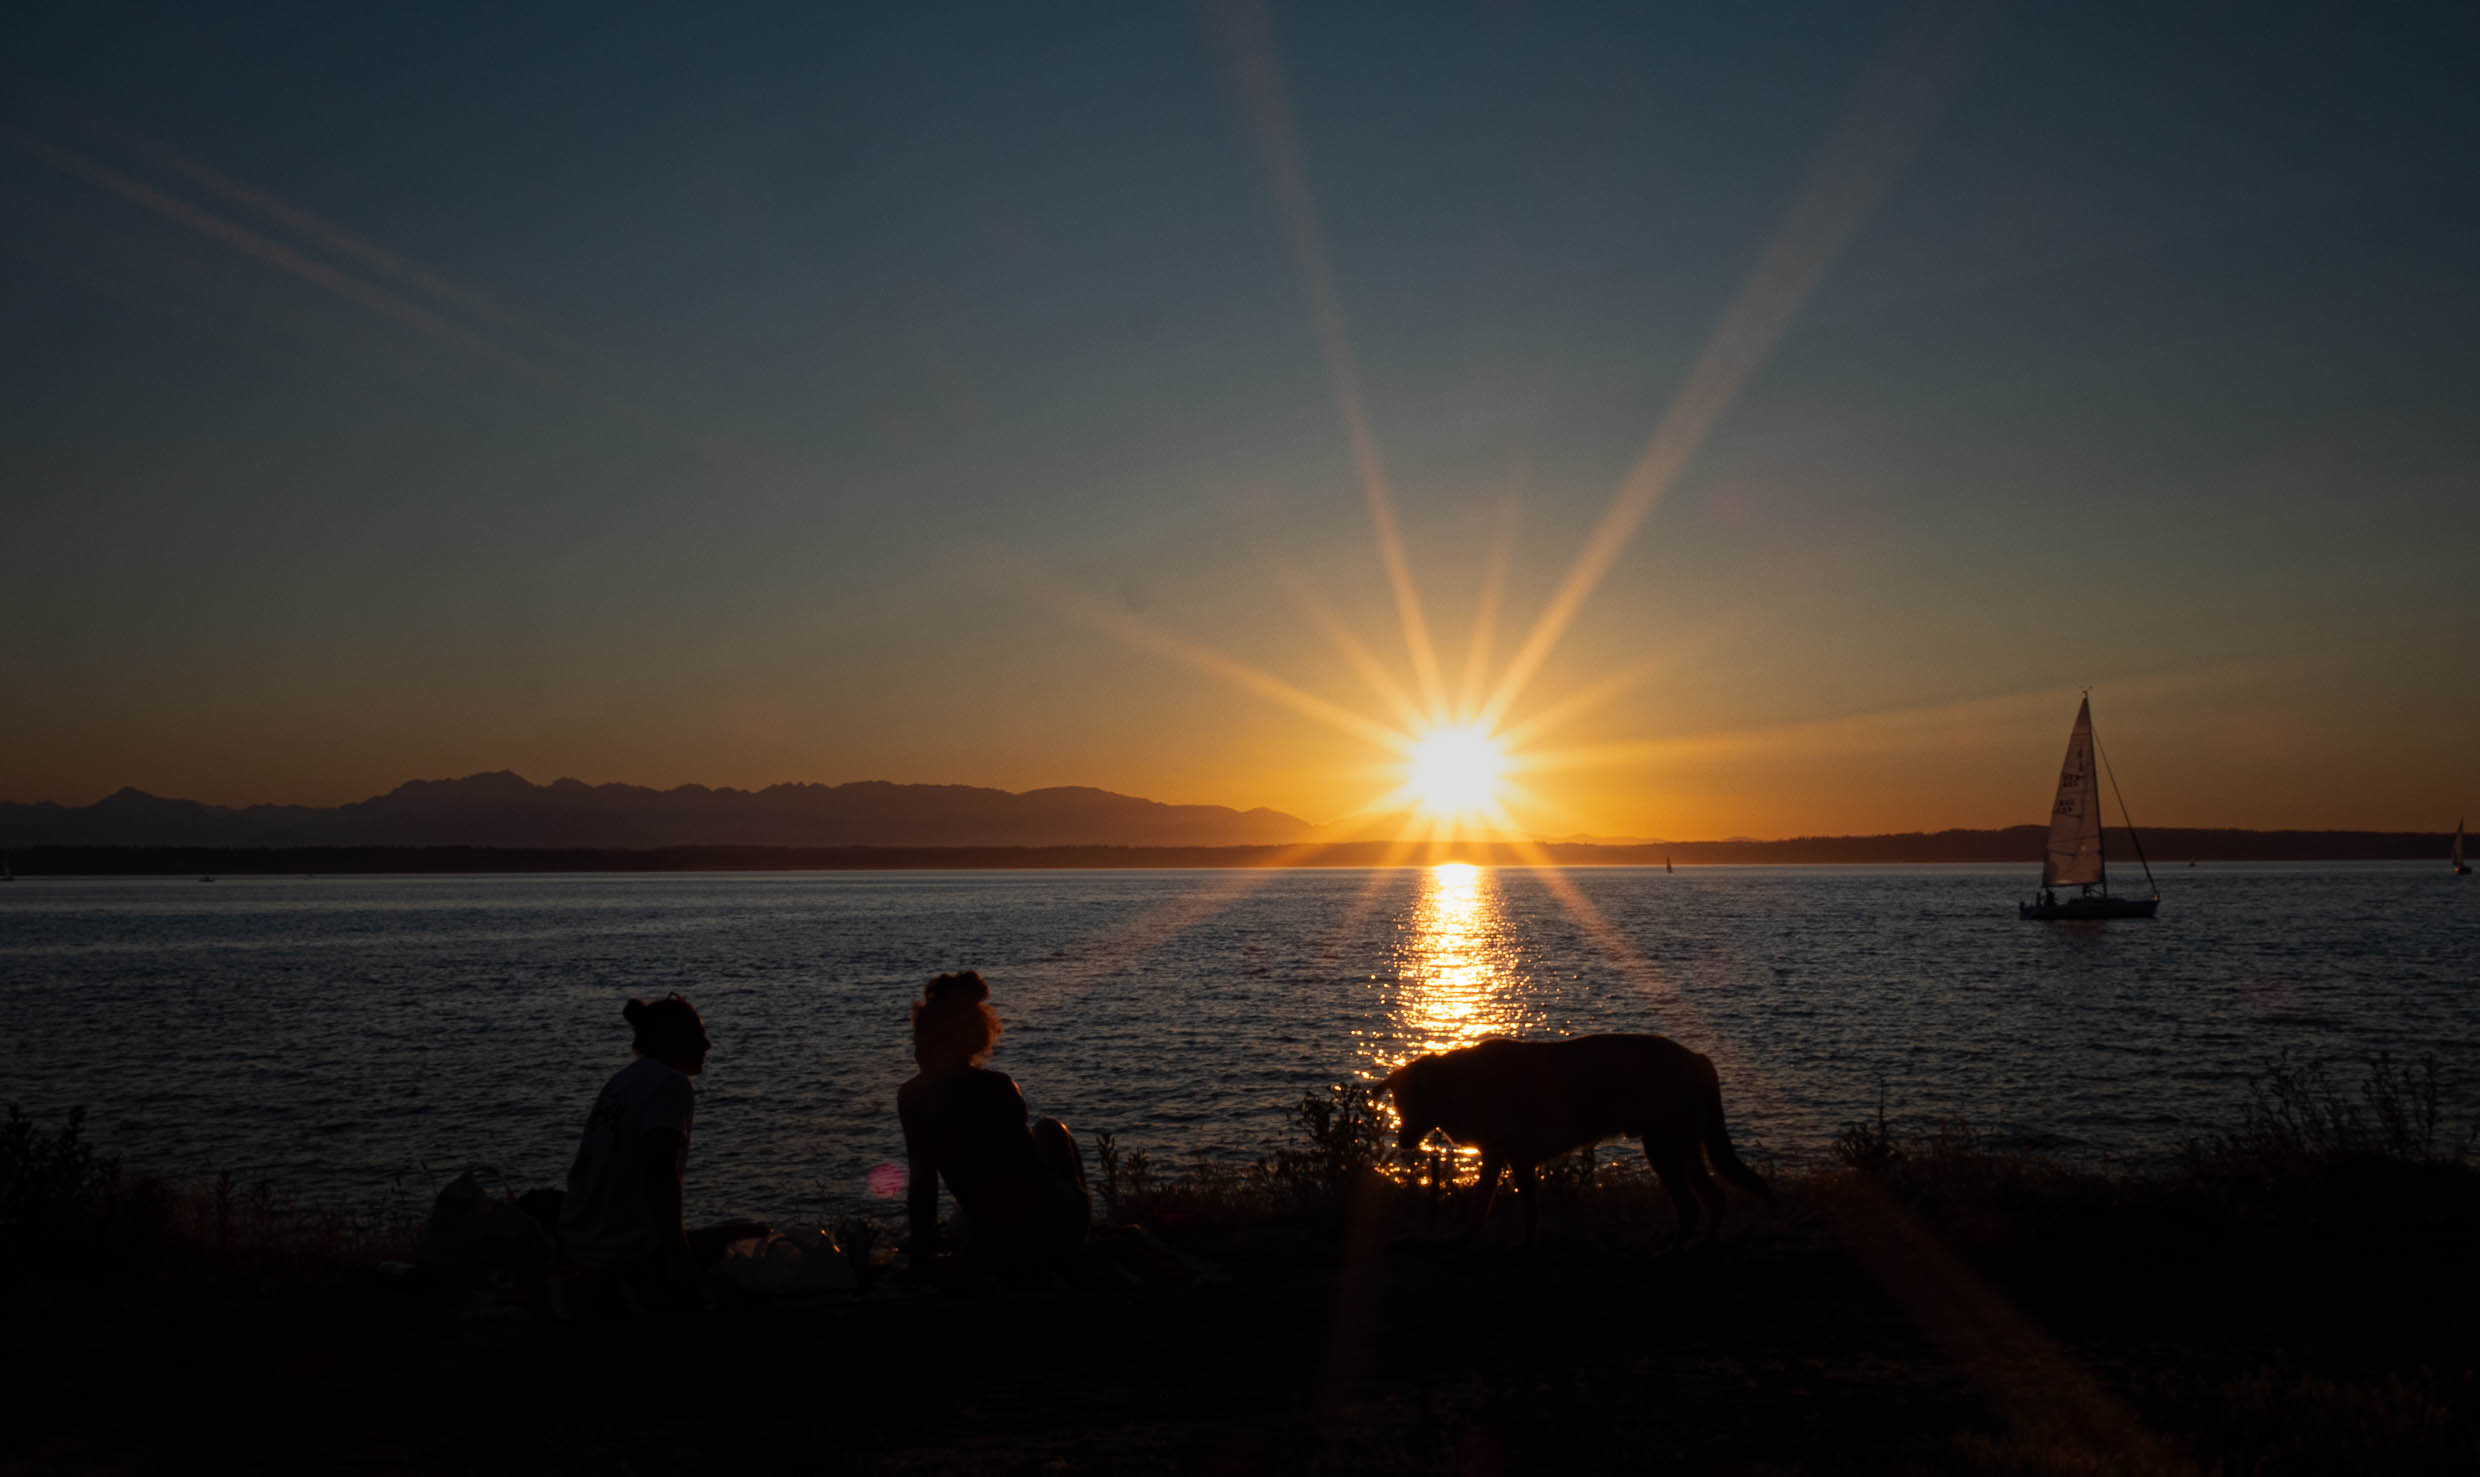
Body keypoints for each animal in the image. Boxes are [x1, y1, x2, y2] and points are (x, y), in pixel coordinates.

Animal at [1388, 1040, 1775, 1244]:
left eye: (1408, 1103)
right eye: (1397, 1105)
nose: (1402, 1139)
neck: (1462, 1083)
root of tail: (1698, 1059)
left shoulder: (1519, 1159)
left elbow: (1529, 1211)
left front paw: (1525, 1246)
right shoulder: (1497, 1157)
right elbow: (1479, 1205)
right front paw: (1470, 1239)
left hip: (1664, 1149)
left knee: (1692, 1205)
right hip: (1683, 1148)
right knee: (1714, 1198)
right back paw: (1702, 1248)